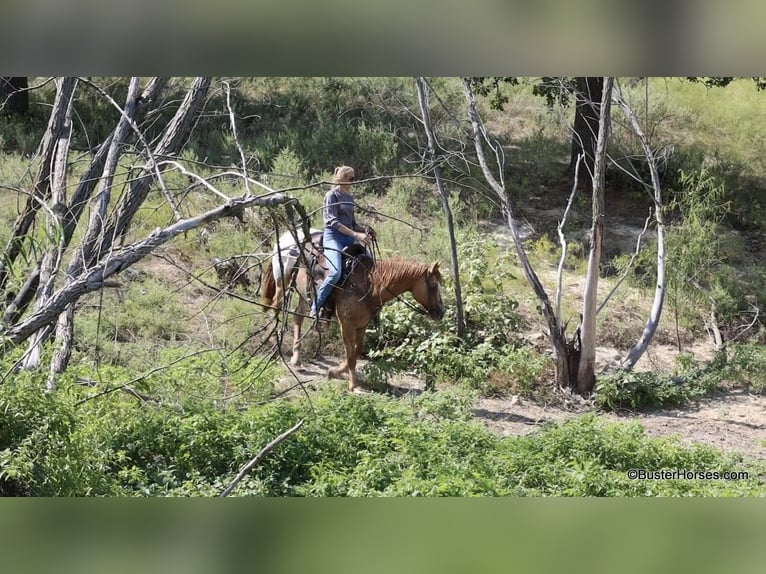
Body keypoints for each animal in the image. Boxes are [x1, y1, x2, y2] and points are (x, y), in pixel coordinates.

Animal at [260, 241, 448, 394]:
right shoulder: (347, 325)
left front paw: (336, 371)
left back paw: (295, 358)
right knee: (275, 307)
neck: (370, 284)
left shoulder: (361, 325)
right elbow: (350, 353)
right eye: (433, 285)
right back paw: (272, 340)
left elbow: (357, 351)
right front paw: (352, 385)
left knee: (297, 318)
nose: (441, 313)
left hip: (303, 296)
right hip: (282, 284)